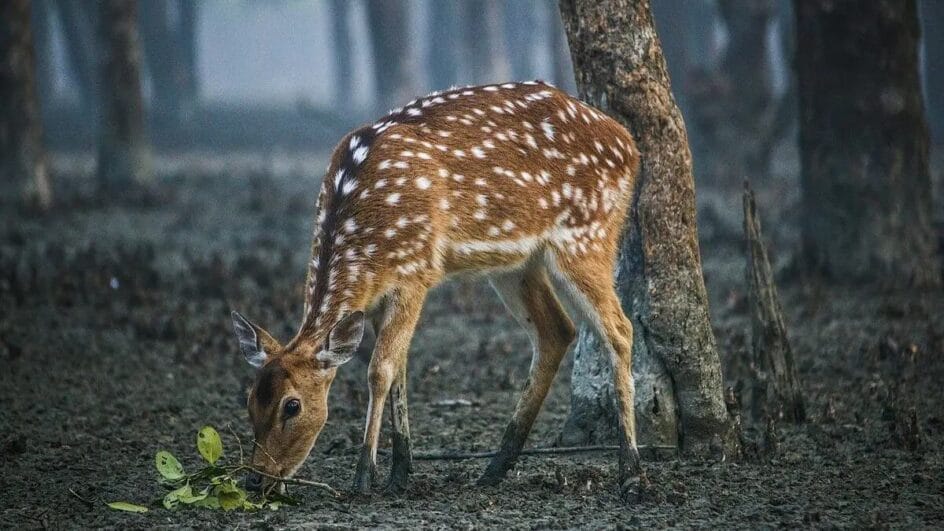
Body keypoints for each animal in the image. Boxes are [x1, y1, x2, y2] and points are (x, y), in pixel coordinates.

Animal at [231, 81, 643, 495]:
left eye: (292, 405)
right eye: (249, 401)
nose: (256, 478)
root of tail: (629, 144)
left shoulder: (416, 271)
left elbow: (380, 370)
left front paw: (364, 476)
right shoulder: (381, 294)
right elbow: (400, 367)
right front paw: (399, 472)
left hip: (586, 235)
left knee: (620, 329)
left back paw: (631, 471)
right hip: (516, 263)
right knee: (556, 330)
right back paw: (494, 467)